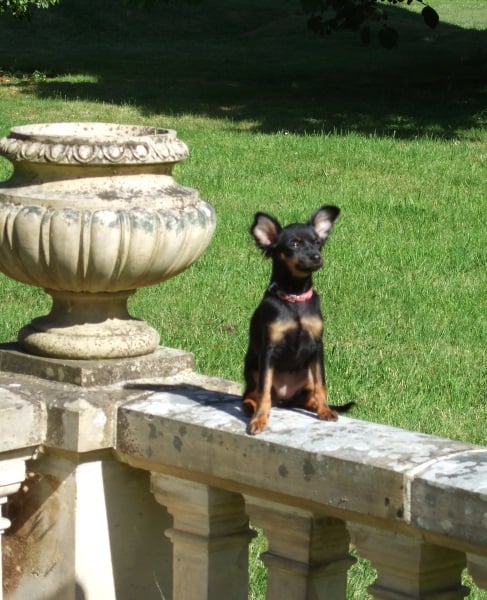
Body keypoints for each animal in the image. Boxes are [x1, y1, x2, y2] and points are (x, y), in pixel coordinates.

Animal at [242, 205, 354, 434]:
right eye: (294, 244)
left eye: (317, 242)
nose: (316, 256)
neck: (294, 297)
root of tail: (285, 401)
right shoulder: (269, 350)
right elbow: (264, 392)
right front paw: (259, 420)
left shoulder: (317, 345)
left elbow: (322, 384)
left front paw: (325, 411)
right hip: (253, 370)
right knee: (251, 395)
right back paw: (250, 408)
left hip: (306, 376)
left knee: (308, 397)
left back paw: (318, 406)